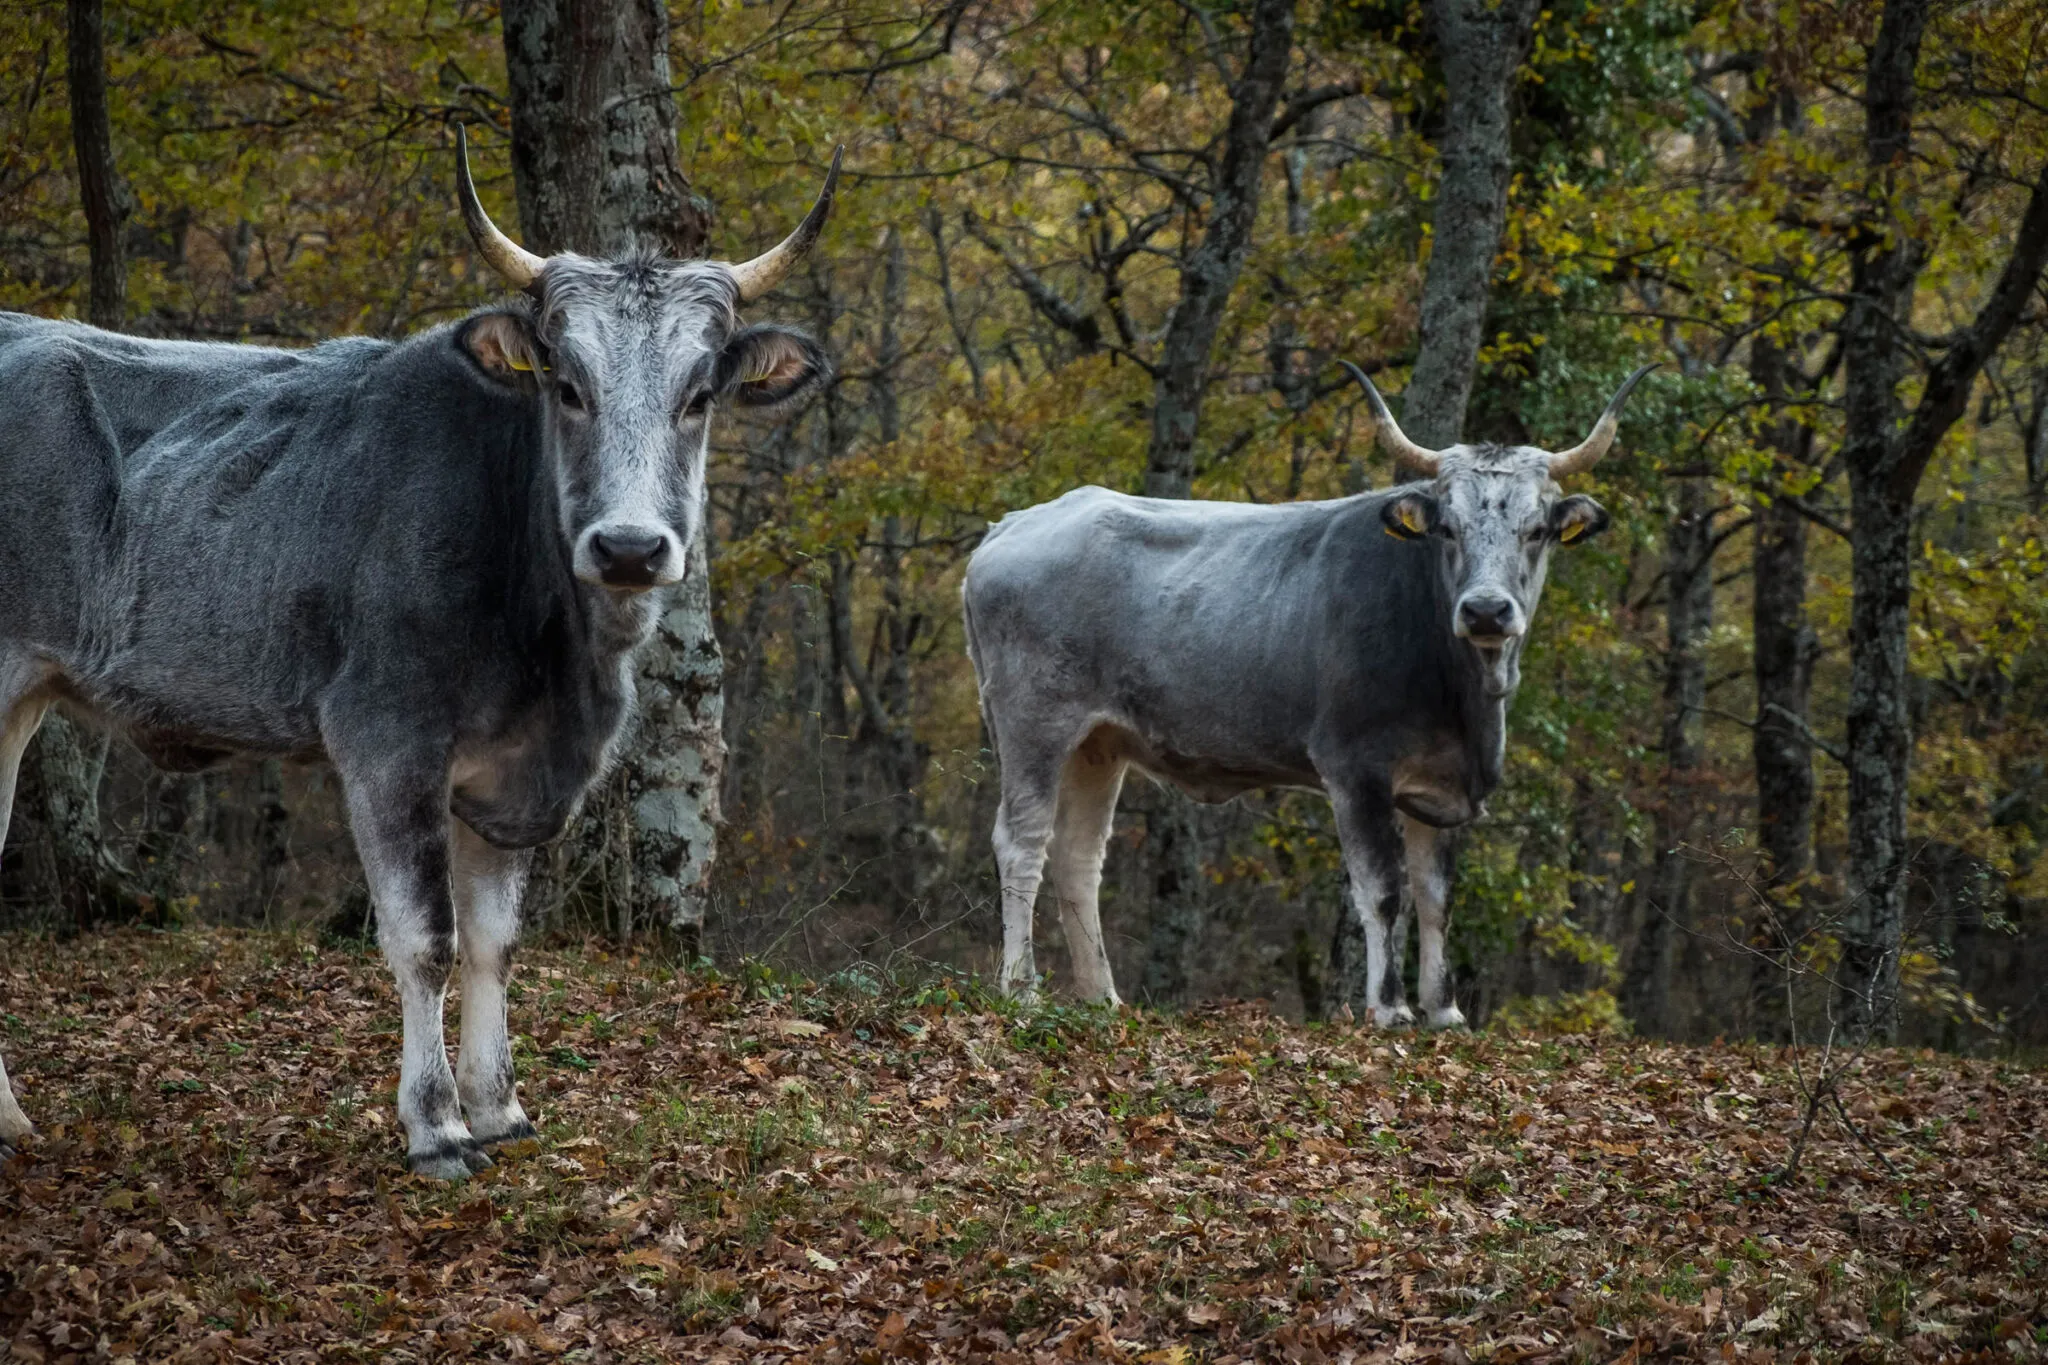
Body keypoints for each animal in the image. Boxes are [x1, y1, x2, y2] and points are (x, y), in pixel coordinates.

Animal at [0, 130, 839, 1178]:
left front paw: (501, 1106)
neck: (553, 657)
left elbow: (494, 942)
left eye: (699, 397)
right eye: (568, 386)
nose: (630, 548)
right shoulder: (386, 739)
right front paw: (435, 1125)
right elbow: (426, 938)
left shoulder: (506, 771)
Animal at [966, 362, 1654, 1023]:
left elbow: (1436, 898)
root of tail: (1015, 525)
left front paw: (1445, 1011)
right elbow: (1382, 892)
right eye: (1448, 529)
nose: (1486, 610)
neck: (1461, 693)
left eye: (1535, 530)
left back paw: (1102, 998)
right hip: (1034, 721)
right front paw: (1389, 1007)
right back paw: (1022, 991)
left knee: (1079, 857)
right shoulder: (1355, 769)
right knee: (1023, 843)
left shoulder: (1442, 786)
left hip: (1098, 744)